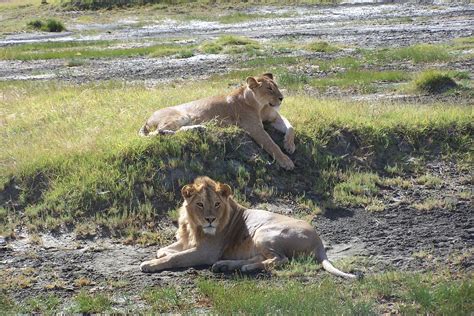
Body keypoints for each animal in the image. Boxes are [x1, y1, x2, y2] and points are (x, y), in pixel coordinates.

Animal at [137, 73, 294, 170]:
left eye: (276, 86)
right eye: (269, 89)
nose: (282, 98)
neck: (261, 106)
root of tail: (147, 119)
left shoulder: (274, 117)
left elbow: (291, 127)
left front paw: (289, 146)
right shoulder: (254, 128)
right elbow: (272, 145)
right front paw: (286, 161)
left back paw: (199, 128)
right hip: (180, 115)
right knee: (157, 132)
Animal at [141, 175, 356, 278]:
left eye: (217, 204)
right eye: (200, 204)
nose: (210, 219)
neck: (194, 225)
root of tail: (319, 240)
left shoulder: (206, 252)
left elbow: (176, 258)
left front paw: (150, 264)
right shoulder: (187, 241)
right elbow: (167, 249)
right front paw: (162, 253)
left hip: (263, 232)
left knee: (281, 259)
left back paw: (244, 267)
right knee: (263, 257)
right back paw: (226, 265)